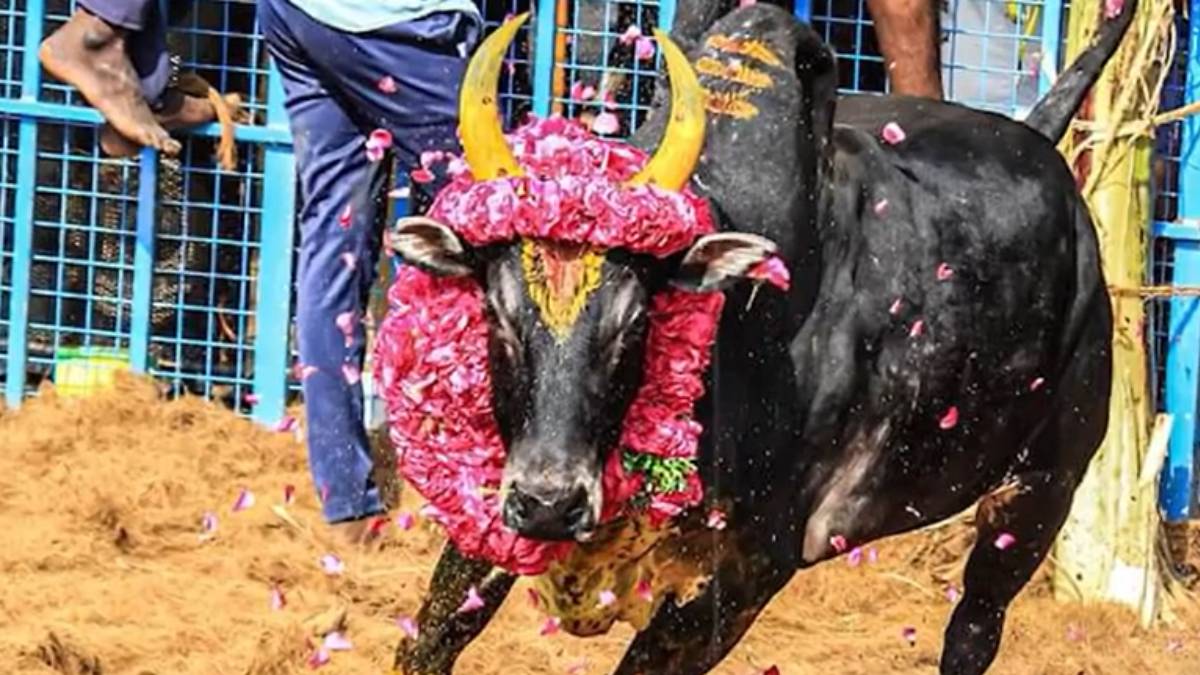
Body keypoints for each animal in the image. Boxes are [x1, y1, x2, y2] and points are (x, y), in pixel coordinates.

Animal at [384, 1, 1134, 673]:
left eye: (636, 322)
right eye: (497, 313)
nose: (549, 502)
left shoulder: (744, 578)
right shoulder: (487, 526)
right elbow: (425, 642)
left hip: (1036, 497)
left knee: (973, 630)